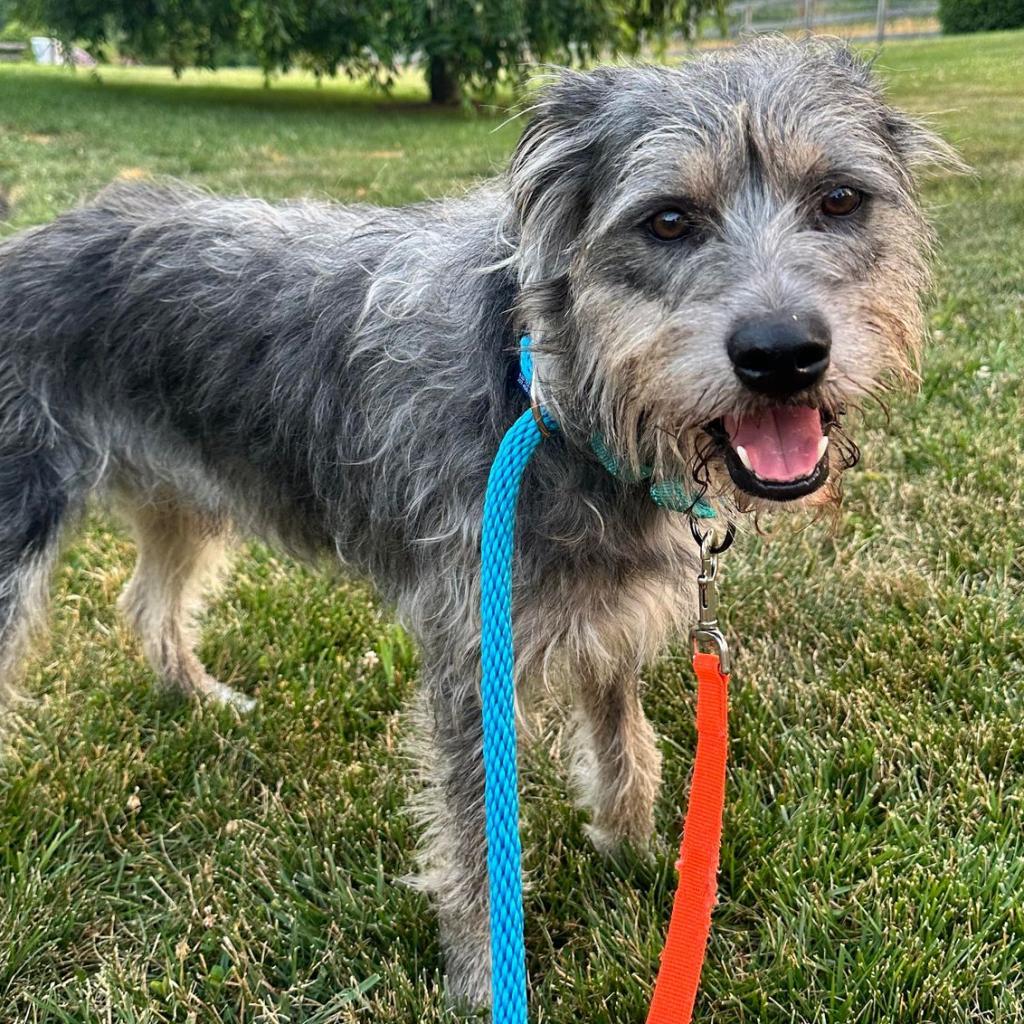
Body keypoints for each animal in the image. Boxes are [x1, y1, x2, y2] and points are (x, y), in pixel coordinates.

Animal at [0, 37, 954, 1007]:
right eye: (668, 220)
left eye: (839, 199)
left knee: (146, 601)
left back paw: (197, 696)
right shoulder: (472, 659)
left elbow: (626, 747)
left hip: (183, 502)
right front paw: (484, 977)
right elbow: (475, 838)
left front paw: (639, 858)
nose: (784, 354)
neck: (548, 398)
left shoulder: (606, 620)